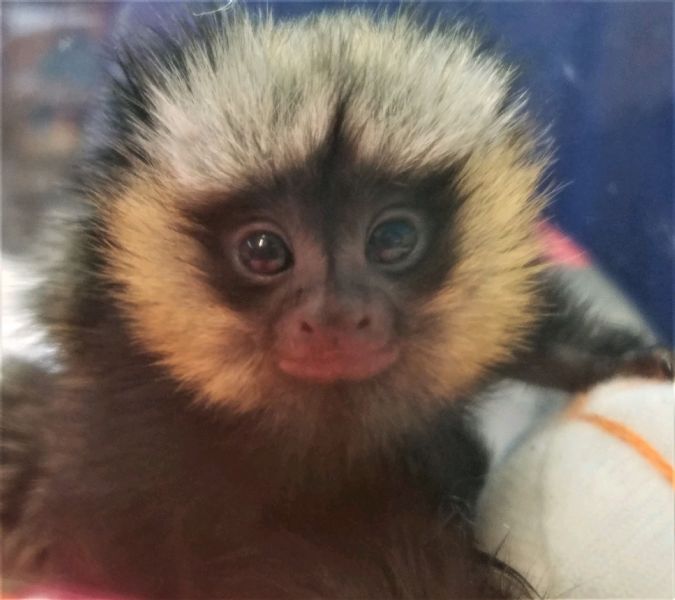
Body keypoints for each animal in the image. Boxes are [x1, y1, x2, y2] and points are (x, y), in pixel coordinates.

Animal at [2, 6, 671, 599]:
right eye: (264, 251)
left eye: (393, 239)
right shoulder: (118, 426)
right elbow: (133, 545)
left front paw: (619, 360)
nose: (336, 317)